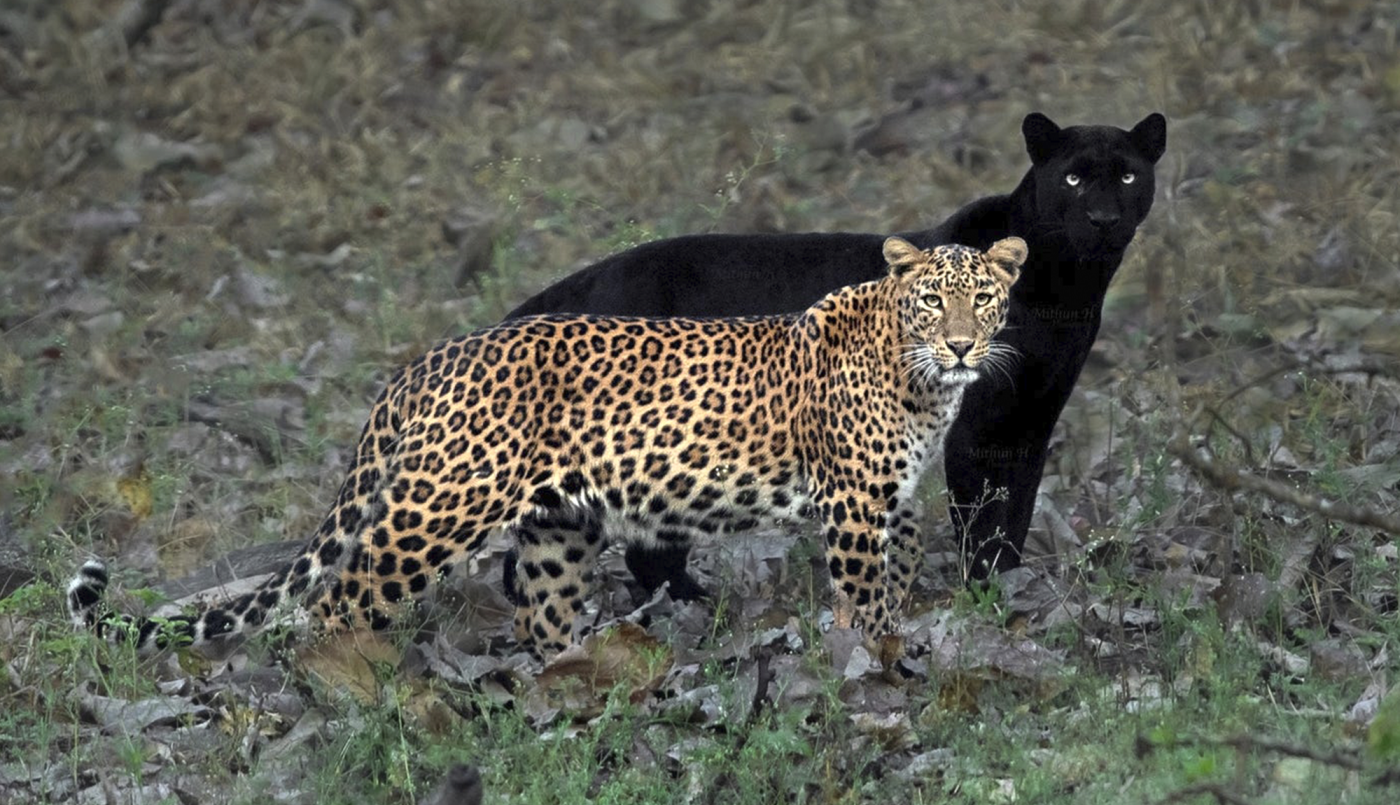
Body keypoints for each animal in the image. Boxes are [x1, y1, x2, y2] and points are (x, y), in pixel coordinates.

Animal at [68, 236, 1026, 658]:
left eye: (983, 297)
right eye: (933, 301)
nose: (963, 346)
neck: (920, 379)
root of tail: (422, 363)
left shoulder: (894, 499)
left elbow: (899, 574)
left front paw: (894, 642)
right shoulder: (856, 501)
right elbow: (861, 595)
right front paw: (866, 666)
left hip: (557, 527)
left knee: (542, 613)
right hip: (435, 508)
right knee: (337, 601)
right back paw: (357, 686)